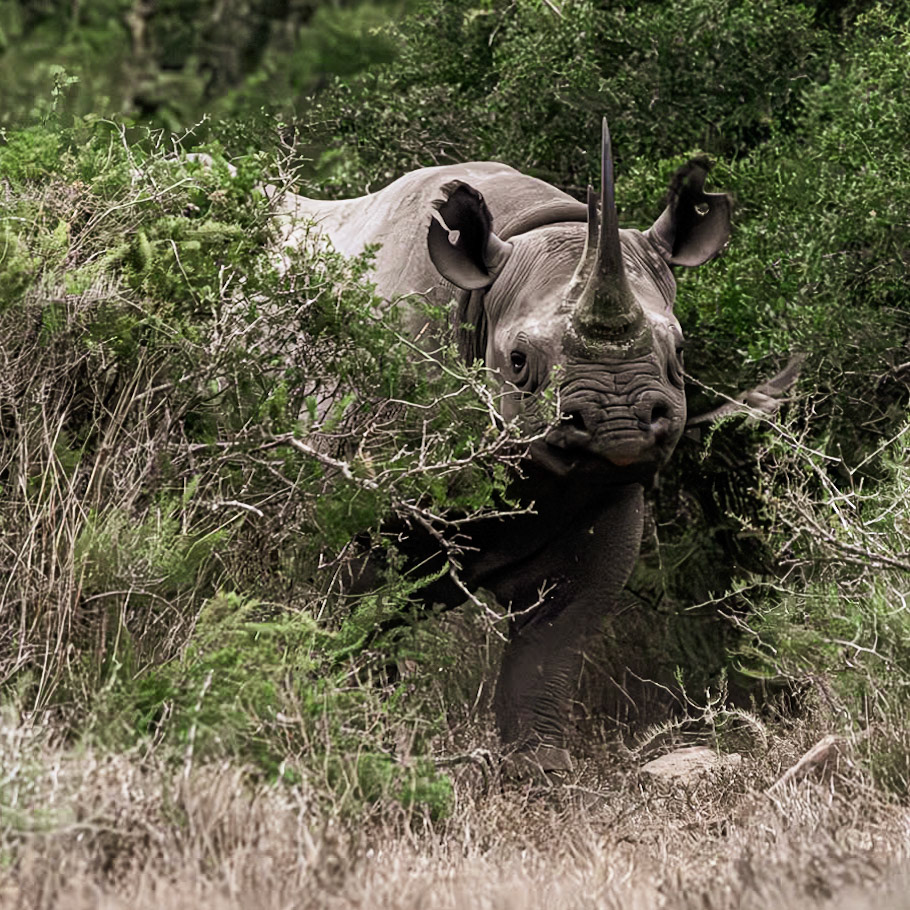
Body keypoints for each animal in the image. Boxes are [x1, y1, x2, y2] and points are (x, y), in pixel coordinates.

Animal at [270, 120, 733, 772]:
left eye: (681, 351)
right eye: (517, 362)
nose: (620, 423)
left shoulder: (600, 491)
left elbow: (551, 640)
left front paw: (542, 769)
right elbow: (355, 622)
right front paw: (353, 743)